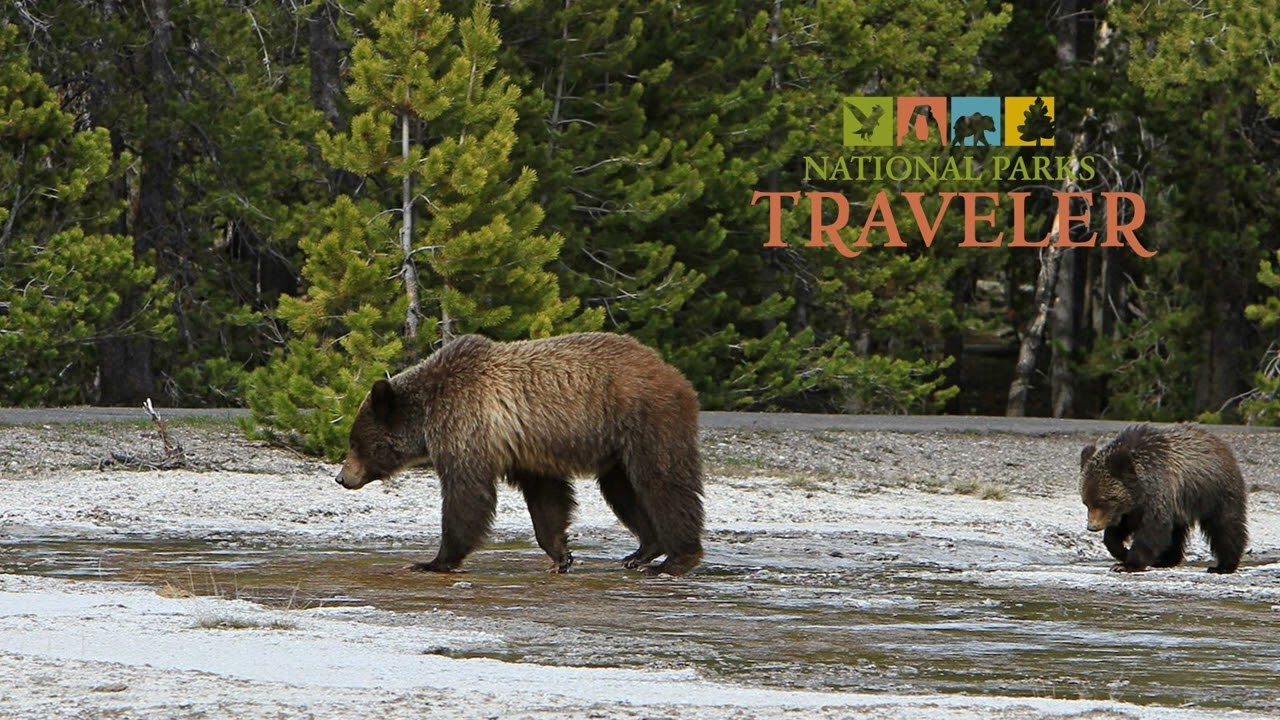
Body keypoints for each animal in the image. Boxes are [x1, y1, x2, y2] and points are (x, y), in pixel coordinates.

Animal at [335, 332, 705, 576]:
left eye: (354, 443)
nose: (341, 477)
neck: (427, 416)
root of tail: (671, 371)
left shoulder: (466, 425)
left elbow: (467, 495)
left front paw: (433, 561)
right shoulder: (527, 450)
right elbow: (547, 500)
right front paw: (560, 555)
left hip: (645, 418)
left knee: (662, 482)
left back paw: (676, 559)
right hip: (615, 448)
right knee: (622, 491)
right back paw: (642, 551)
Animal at [1078, 424, 1248, 574]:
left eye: (1102, 501)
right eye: (1086, 502)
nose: (1092, 526)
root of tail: (1221, 444)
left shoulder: (1158, 492)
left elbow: (1152, 529)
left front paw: (1127, 565)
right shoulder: (1133, 507)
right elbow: (1118, 530)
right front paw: (1122, 552)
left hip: (1215, 492)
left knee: (1225, 526)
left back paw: (1223, 565)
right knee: (1176, 534)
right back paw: (1166, 560)